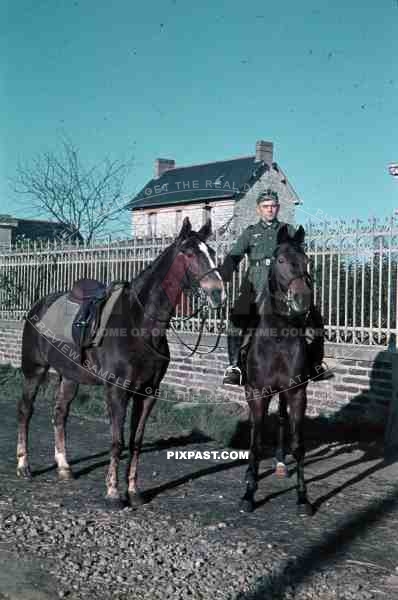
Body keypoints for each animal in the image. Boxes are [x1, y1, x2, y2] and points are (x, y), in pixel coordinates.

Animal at [17, 218, 224, 508]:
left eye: (212, 252)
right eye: (189, 253)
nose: (218, 293)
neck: (140, 323)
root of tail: (38, 307)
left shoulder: (148, 392)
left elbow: (136, 442)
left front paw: (134, 492)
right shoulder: (117, 390)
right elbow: (117, 441)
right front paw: (113, 493)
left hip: (69, 377)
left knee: (60, 414)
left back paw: (65, 468)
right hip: (34, 370)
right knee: (25, 411)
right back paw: (24, 467)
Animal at [241, 225, 316, 516]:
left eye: (306, 259)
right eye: (281, 260)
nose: (303, 299)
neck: (279, 334)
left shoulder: (296, 392)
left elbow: (299, 445)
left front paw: (303, 497)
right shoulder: (257, 393)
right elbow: (255, 441)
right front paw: (249, 494)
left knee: (283, 419)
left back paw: (282, 462)